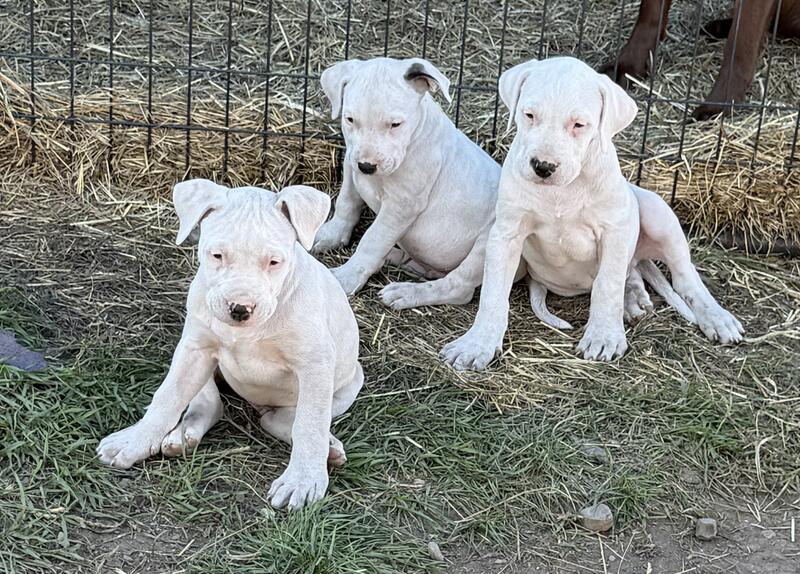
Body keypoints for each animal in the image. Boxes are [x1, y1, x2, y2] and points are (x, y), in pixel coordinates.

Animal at [97, 179, 364, 510]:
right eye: (217, 255)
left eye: (274, 262)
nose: (240, 308)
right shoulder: (195, 350)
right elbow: (167, 398)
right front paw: (134, 441)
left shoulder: (314, 364)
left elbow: (309, 424)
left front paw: (303, 480)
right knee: (210, 403)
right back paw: (183, 435)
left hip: (343, 388)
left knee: (281, 420)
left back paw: (329, 448)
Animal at [312, 57, 501, 310]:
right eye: (350, 119)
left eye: (395, 124)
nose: (367, 166)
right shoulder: (351, 165)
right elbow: (347, 202)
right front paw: (331, 235)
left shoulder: (402, 206)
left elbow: (373, 240)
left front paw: (346, 278)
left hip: (489, 243)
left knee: (458, 287)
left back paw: (406, 292)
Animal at [441, 57, 743, 370]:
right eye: (529, 115)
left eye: (579, 124)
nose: (543, 166)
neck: (561, 192)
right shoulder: (507, 234)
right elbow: (493, 292)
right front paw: (477, 344)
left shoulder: (615, 231)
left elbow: (607, 284)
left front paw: (604, 337)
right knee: (632, 272)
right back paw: (634, 299)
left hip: (657, 214)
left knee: (684, 278)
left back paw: (717, 318)